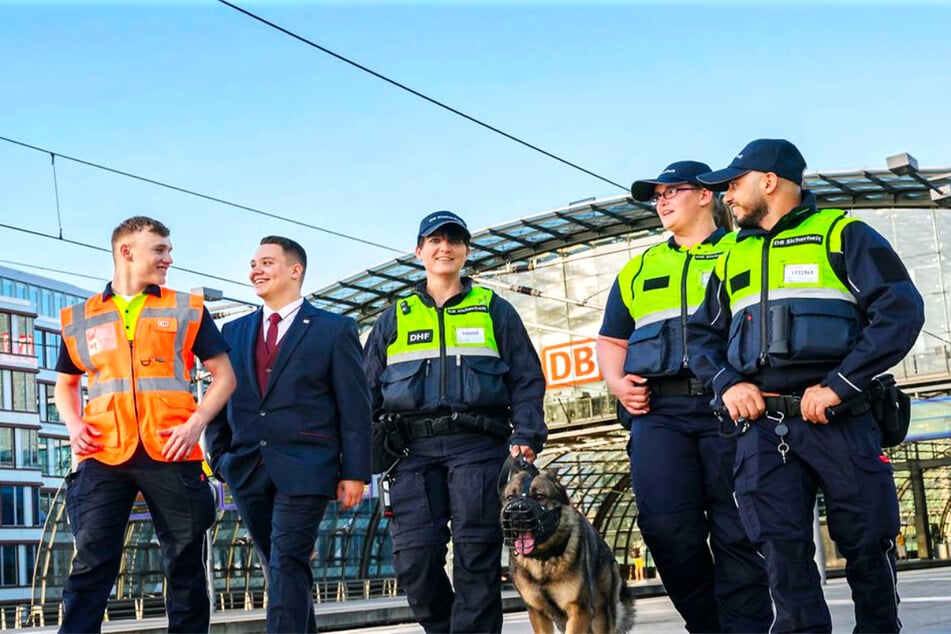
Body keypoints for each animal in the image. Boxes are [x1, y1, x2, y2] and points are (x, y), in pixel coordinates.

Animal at [498, 460, 640, 632]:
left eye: (539, 496)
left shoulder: (580, 609)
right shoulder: (538, 614)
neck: (544, 558)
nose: (515, 515)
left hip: (600, 614)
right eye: (510, 497)